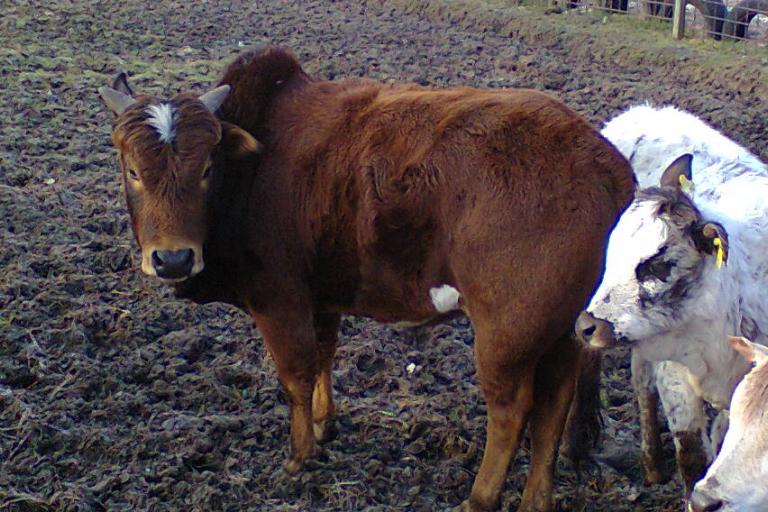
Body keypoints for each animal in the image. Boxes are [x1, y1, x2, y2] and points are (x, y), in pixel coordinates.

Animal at [99, 46, 632, 510]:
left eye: (207, 167)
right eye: (133, 170)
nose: (172, 259)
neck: (250, 172)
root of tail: (605, 164)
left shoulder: (279, 300)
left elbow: (295, 374)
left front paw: (299, 455)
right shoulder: (320, 298)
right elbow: (323, 358)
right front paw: (322, 423)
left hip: (508, 333)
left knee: (511, 412)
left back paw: (479, 498)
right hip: (560, 333)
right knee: (552, 410)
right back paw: (536, 498)